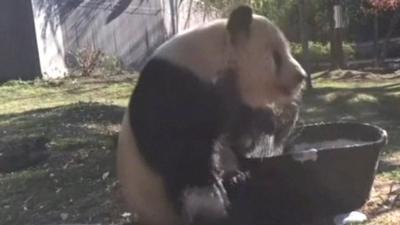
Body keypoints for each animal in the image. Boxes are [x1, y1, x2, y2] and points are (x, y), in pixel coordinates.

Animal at [115, 4, 306, 225]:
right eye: (276, 56)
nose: (301, 76)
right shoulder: (174, 91)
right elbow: (184, 156)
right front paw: (216, 200)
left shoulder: (230, 101)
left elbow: (241, 136)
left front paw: (274, 119)